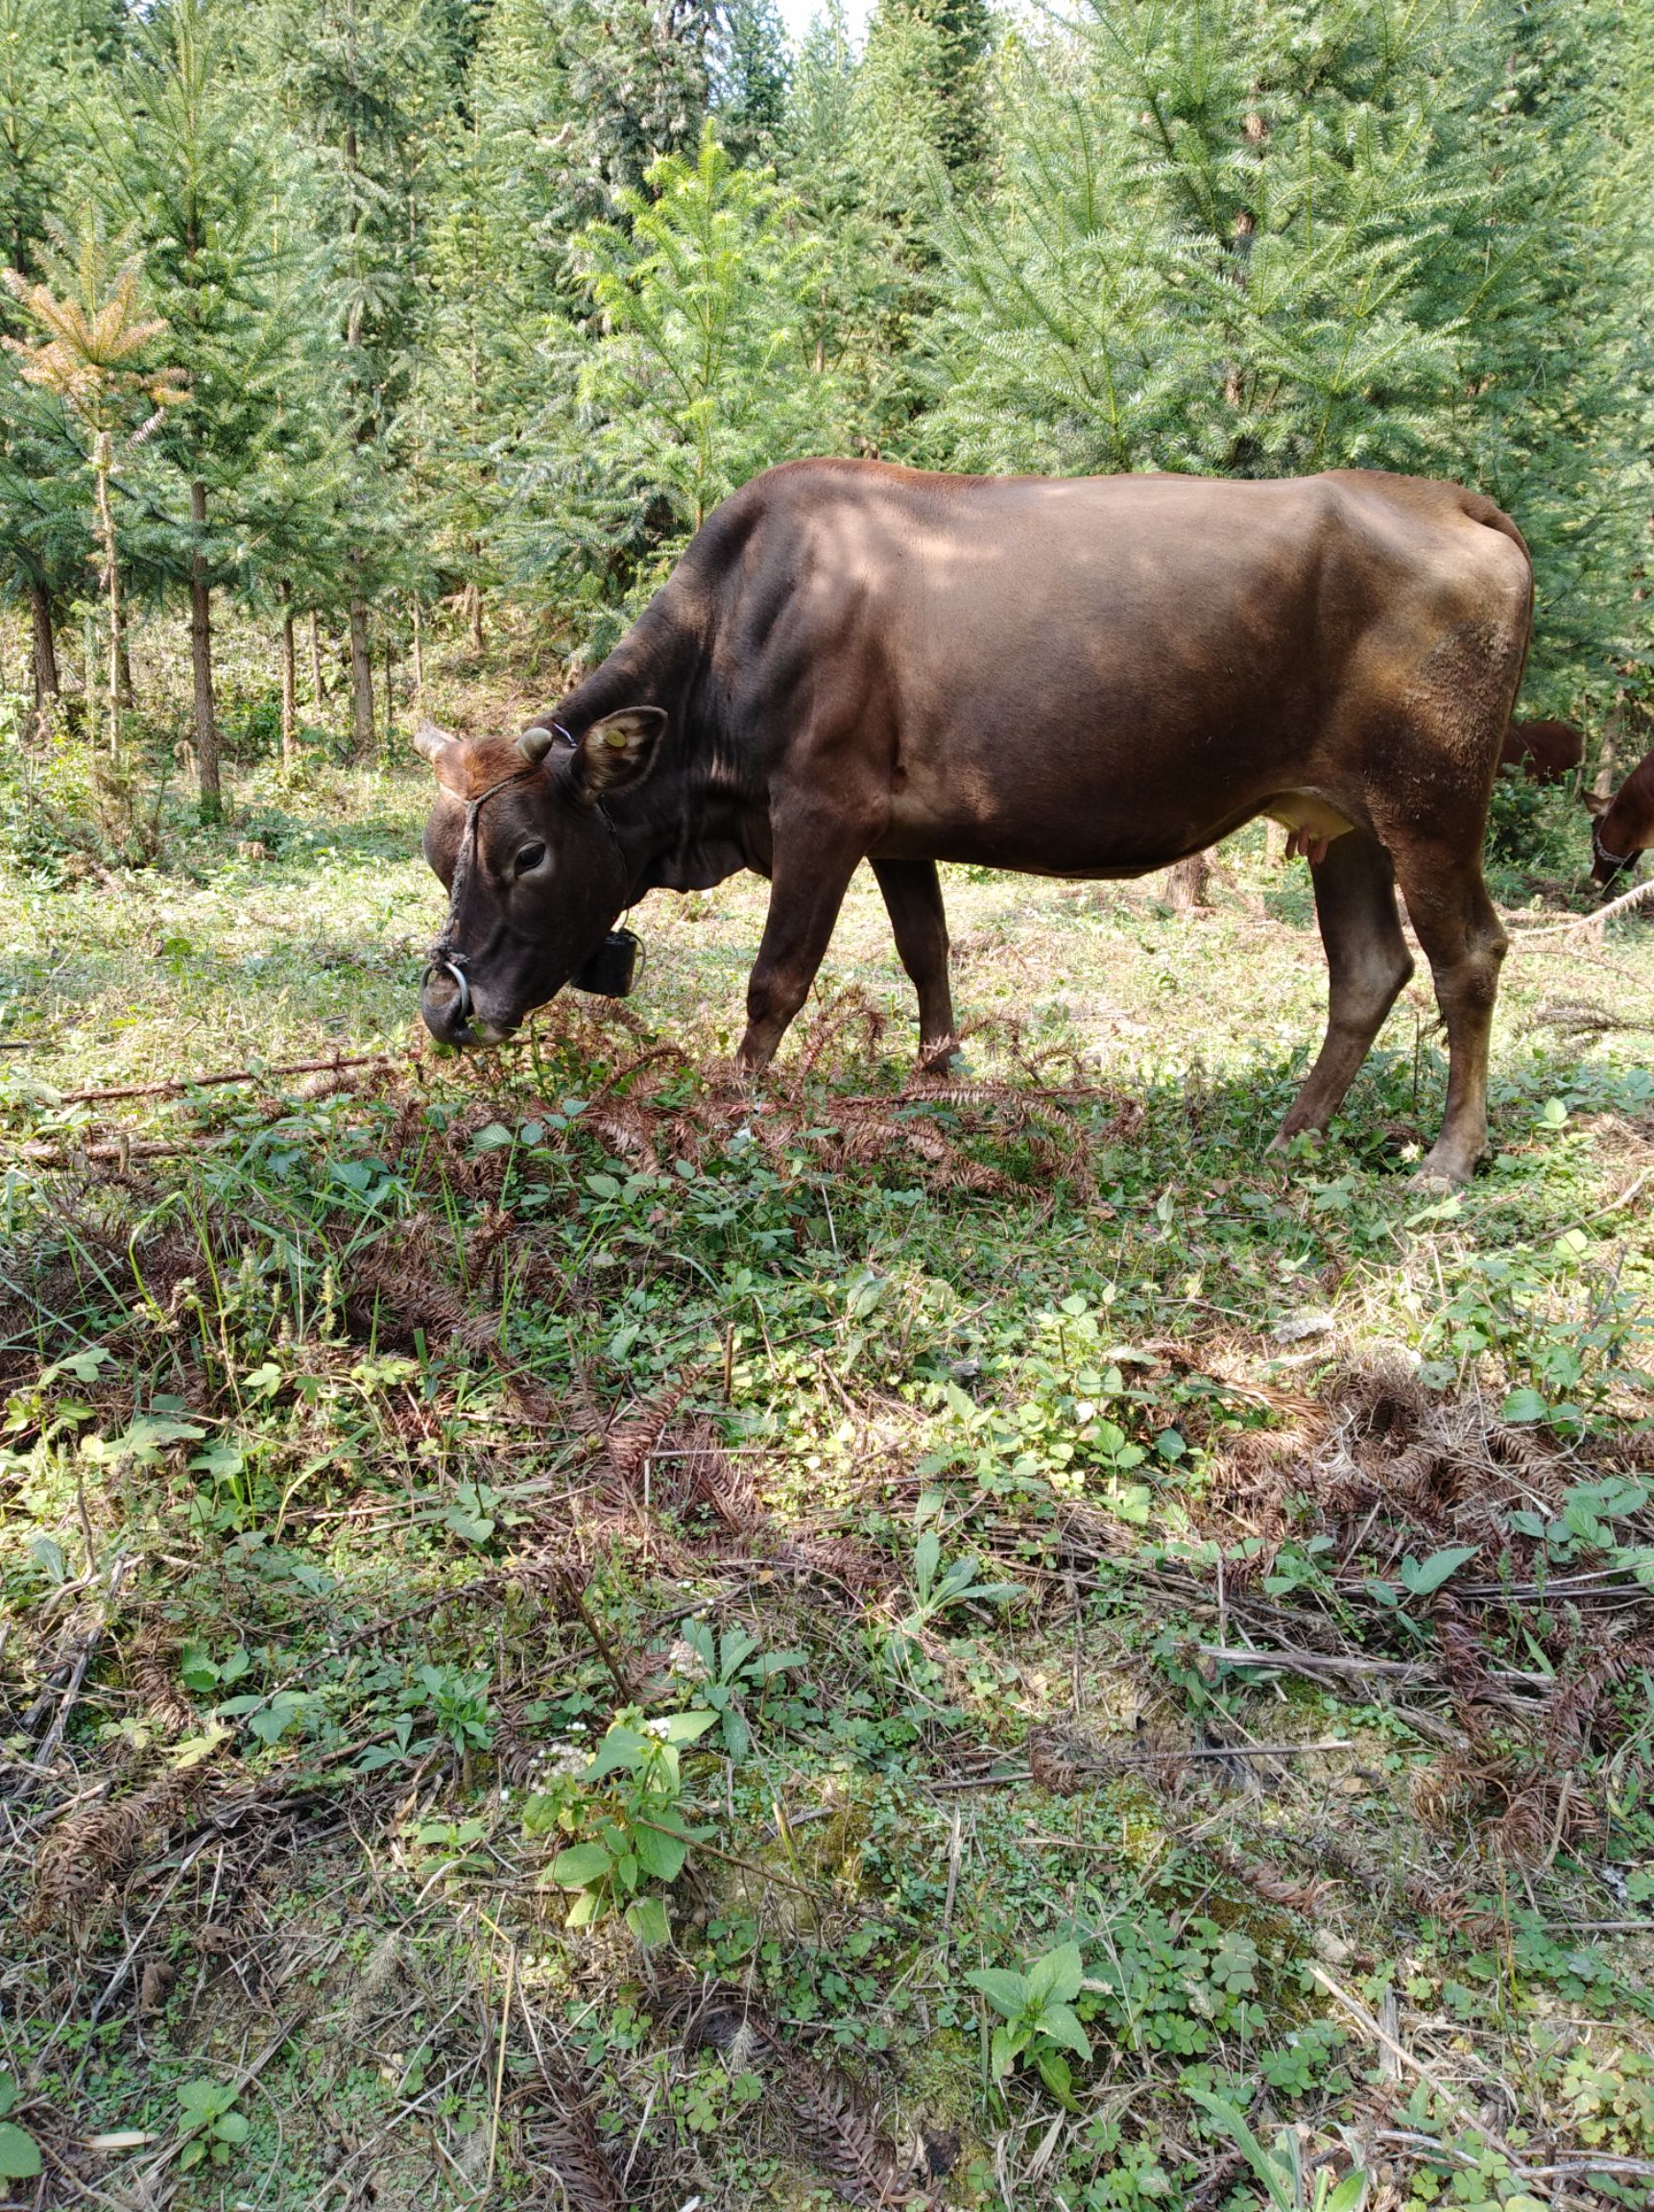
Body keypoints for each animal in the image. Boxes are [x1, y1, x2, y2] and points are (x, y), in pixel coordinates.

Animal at [419, 462, 1530, 1194]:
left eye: (526, 853)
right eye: (439, 858)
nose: (445, 1007)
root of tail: (1443, 497)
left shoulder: (820, 811)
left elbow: (777, 978)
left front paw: (734, 1110)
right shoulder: (895, 830)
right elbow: (927, 954)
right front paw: (934, 1086)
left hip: (1429, 803)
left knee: (1465, 953)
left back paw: (1448, 1158)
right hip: (1343, 820)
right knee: (1369, 968)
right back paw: (1294, 1134)